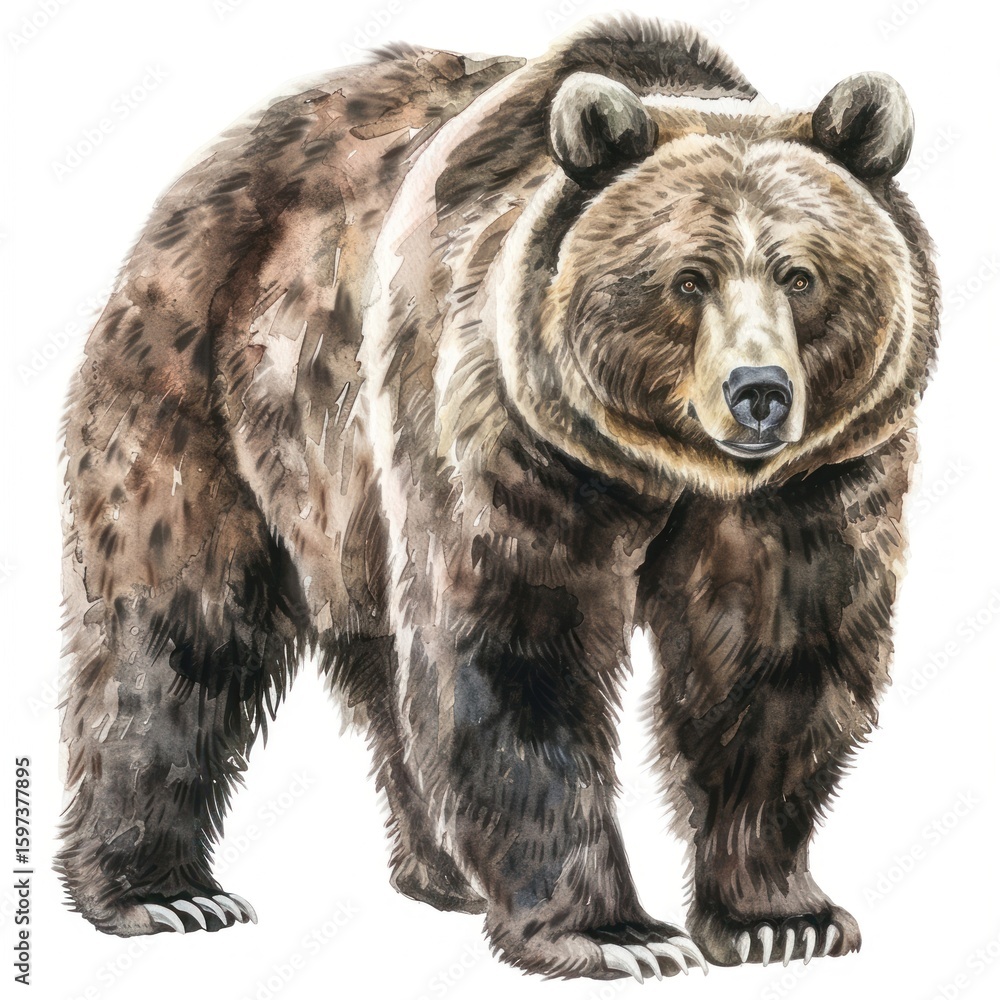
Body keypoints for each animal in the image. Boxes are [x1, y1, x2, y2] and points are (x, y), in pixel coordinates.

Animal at [57, 13, 938, 981]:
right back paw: (163, 891)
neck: (669, 469)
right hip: (211, 385)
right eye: (688, 277)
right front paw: (615, 933)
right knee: (178, 623)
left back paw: (440, 870)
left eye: (801, 275)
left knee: (387, 667)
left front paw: (780, 918)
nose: (760, 393)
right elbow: (518, 644)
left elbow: (776, 653)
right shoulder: (507, 431)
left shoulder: (813, 481)